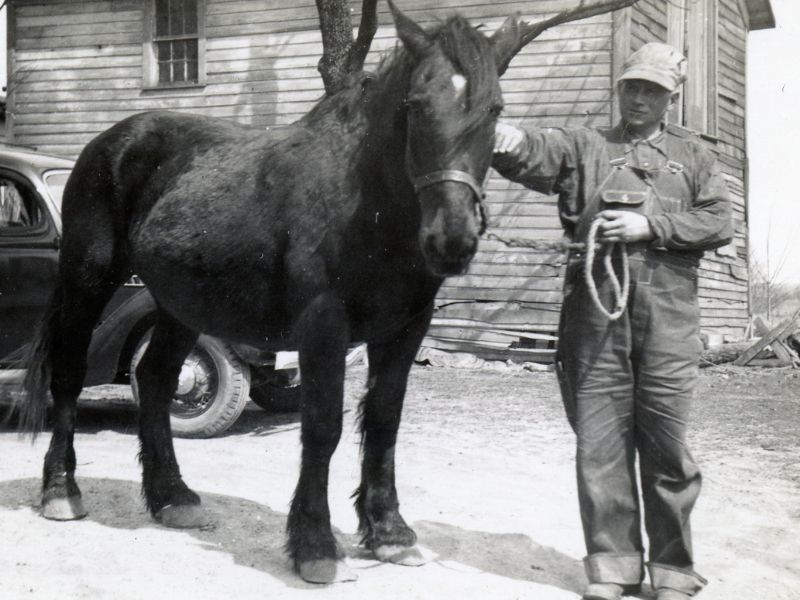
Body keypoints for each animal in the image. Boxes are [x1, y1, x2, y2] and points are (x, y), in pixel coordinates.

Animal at [14, 1, 531, 584]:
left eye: (495, 109)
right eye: (415, 106)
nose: (451, 241)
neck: (367, 203)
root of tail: (109, 142)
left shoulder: (405, 329)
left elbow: (383, 422)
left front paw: (391, 534)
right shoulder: (323, 325)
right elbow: (323, 426)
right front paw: (316, 546)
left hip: (177, 304)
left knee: (155, 378)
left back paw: (173, 498)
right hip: (88, 280)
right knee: (70, 374)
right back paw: (62, 491)